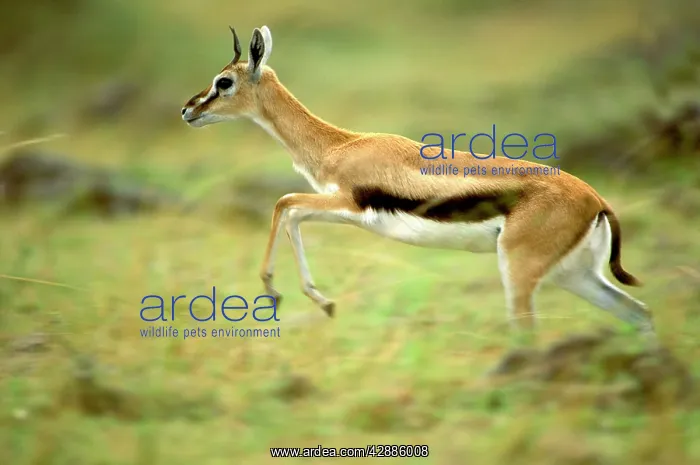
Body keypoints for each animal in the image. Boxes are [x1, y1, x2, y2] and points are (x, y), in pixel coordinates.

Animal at [181, 25, 654, 334]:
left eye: (223, 82)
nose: (188, 110)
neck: (343, 145)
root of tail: (596, 199)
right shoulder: (345, 212)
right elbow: (292, 213)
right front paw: (324, 302)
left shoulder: (346, 204)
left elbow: (283, 203)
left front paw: (280, 294)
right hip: (573, 275)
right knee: (640, 314)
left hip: (521, 271)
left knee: (527, 329)